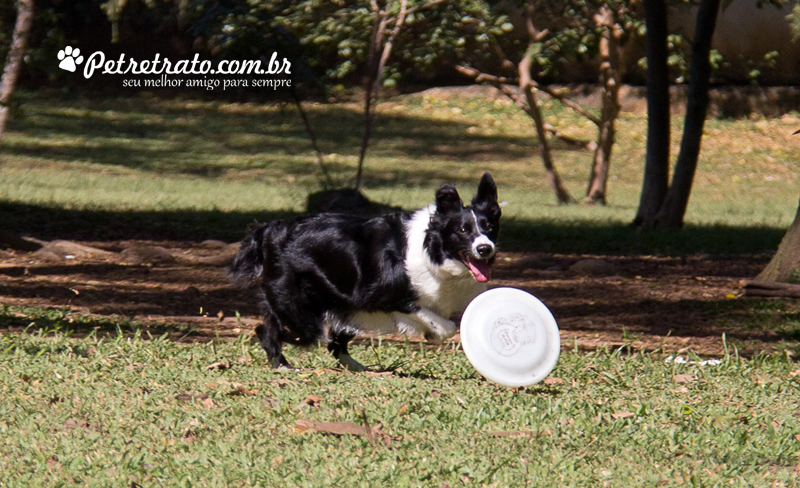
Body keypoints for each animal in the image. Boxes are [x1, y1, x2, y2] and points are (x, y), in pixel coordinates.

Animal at [227, 173, 500, 370]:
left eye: (489, 227)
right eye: (463, 230)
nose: (485, 249)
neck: (433, 250)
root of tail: (270, 231)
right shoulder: (388, 297)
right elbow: (445, 325)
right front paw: (433, 335)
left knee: (333, 343)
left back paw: (359, 368)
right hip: (303, 315)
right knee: (270, 331)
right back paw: (282, 365)